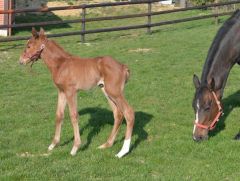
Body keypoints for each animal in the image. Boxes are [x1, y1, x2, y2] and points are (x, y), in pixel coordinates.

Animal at [18, 27, 135, 158]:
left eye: (29, 46)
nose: (20, 61)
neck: (60, 64)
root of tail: (123, 66)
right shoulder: (61, 91)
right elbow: (59, 115)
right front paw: (53, 144)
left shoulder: (71, 92)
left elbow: (74, 116)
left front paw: (75, 148)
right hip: (106, 91)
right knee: (118, 114)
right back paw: (106, 144)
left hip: (115, 92)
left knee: (128, 112)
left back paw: (122, 151)